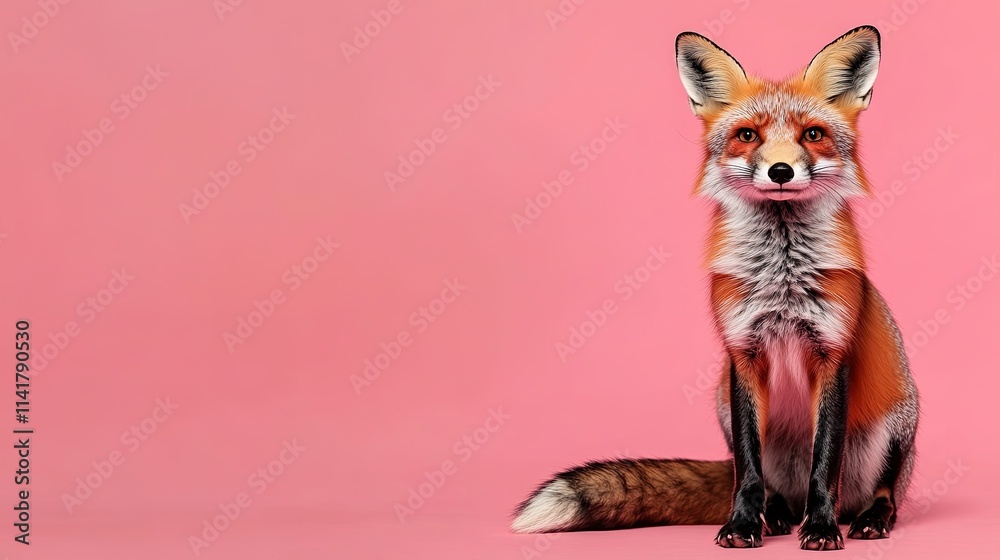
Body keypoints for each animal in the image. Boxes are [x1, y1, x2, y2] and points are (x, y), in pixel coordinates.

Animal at [511, 26, 919, 551]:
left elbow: (825, 464)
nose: (781, 171)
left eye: (813, 134)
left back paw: (867, 518)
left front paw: (822, 527)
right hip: (723, 403)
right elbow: (747, 467)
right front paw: (743, 524)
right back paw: (777, 515)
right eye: (748, 135)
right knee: (763, 483)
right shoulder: (742, 355)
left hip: (896, 423)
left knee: (884, 492)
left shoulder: (833, 352)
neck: (782, 276)